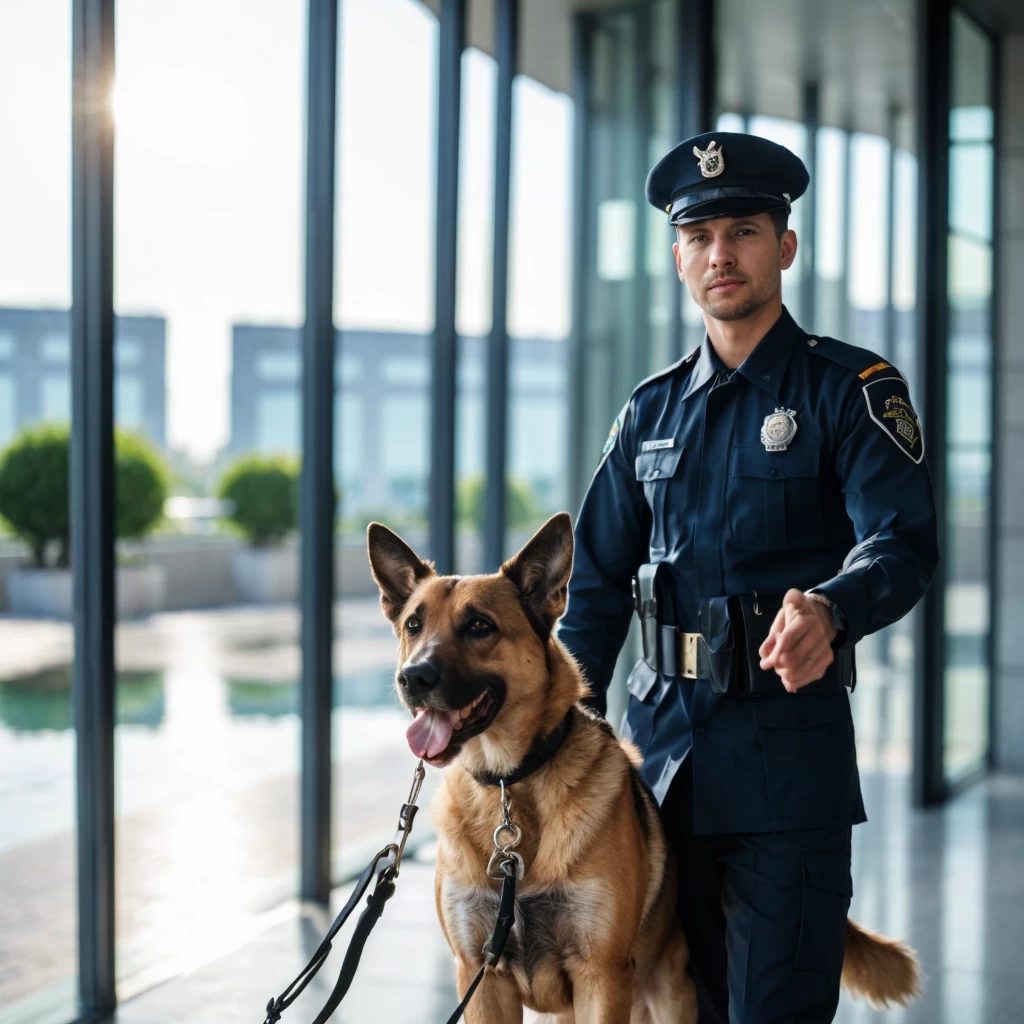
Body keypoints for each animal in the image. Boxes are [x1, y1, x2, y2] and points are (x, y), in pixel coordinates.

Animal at [366, 516, 921, 1019]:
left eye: (479, 626)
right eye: (414, 625)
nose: (412, 679)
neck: (510, 786)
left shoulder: (600, 978)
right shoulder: (481, 980)